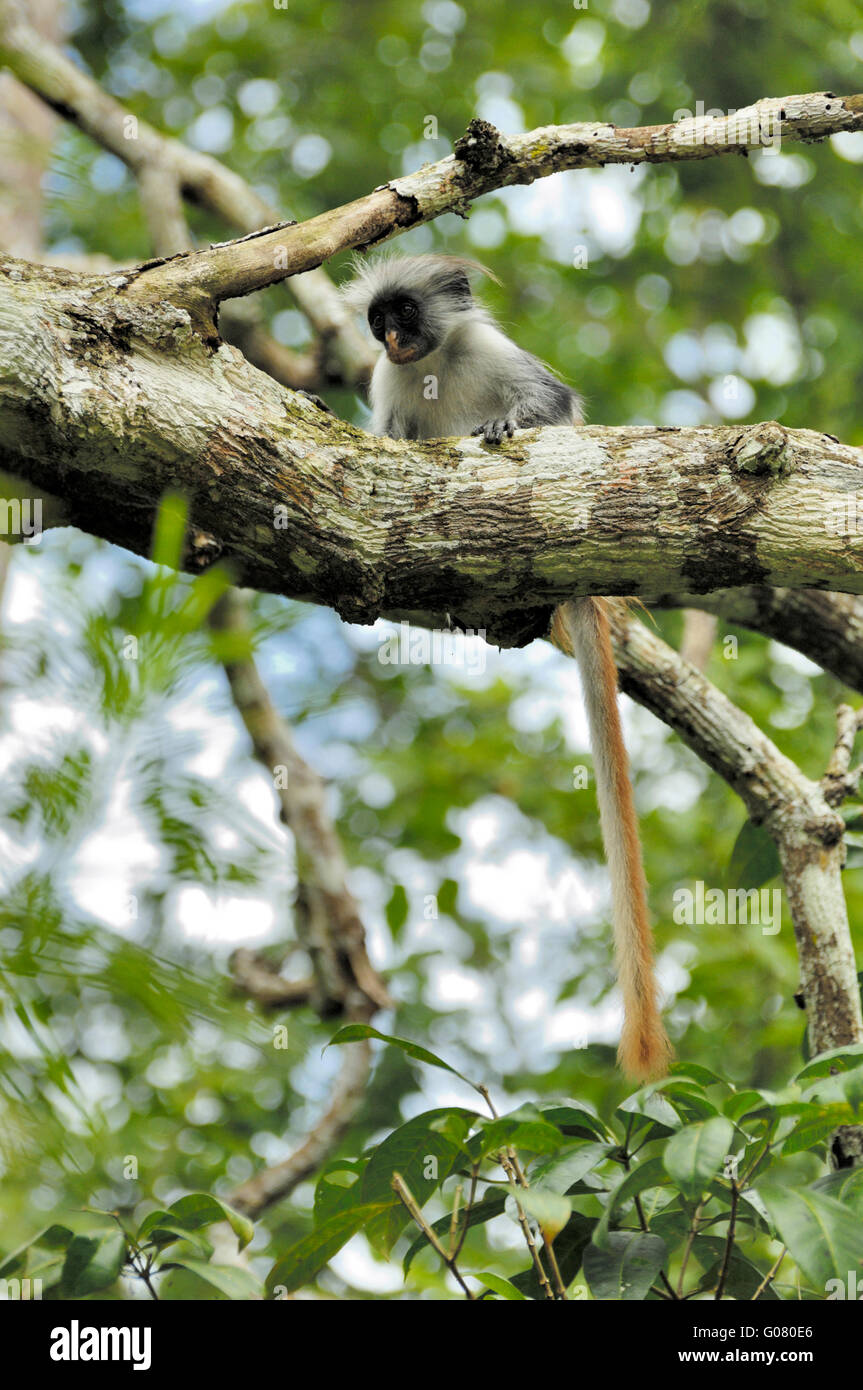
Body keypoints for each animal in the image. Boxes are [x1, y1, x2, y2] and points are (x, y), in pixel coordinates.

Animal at [340, 255, 669, 1078]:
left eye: (405, 315)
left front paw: (506, 423)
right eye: (377, 324)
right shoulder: (386, 387)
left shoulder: (488, 351)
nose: (393, 341)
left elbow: (553, 405)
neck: (428, 367)